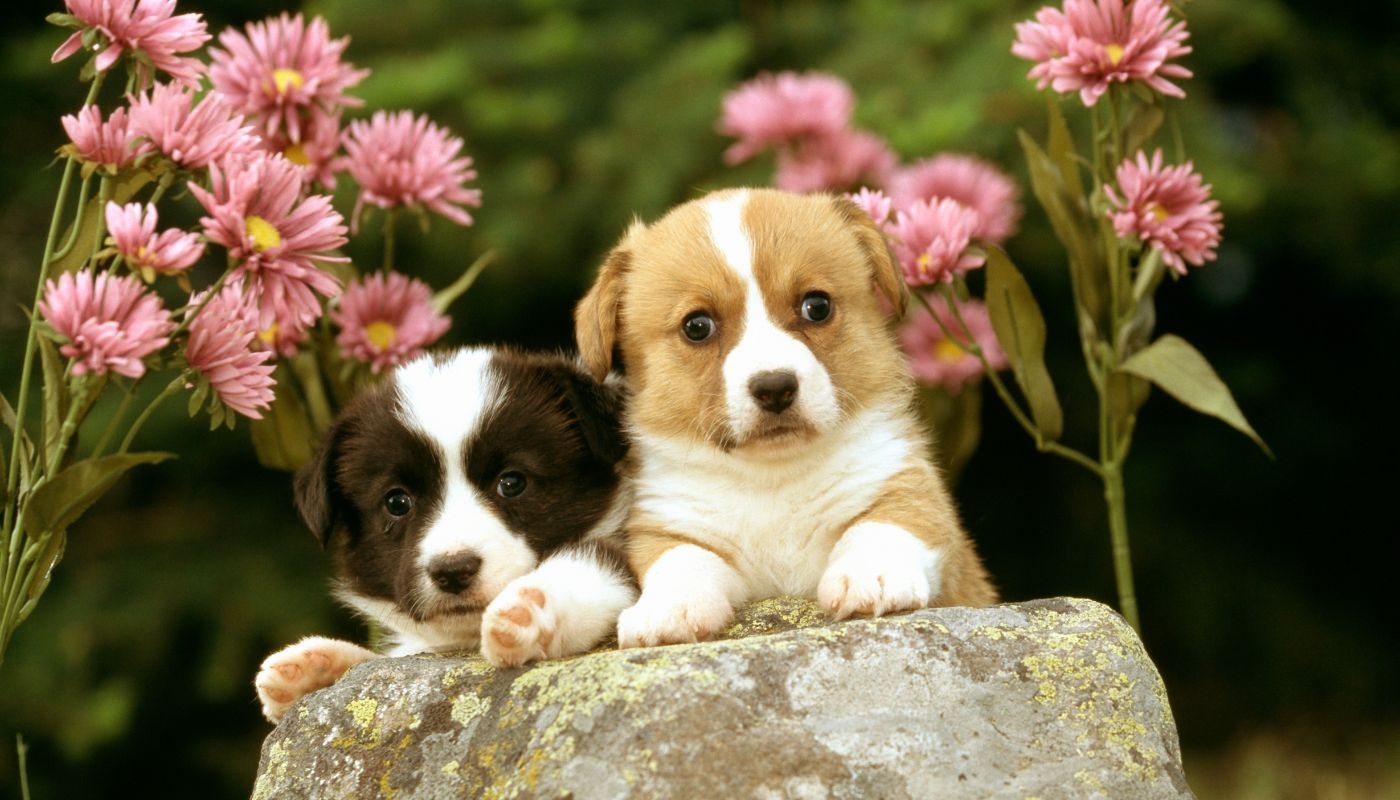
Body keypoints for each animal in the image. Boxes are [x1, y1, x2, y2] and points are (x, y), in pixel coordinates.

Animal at [254, 347, 638, 722]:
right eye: (397, 502)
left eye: (512, 482)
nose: (453, 570)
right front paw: (315, 666)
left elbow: (596, 564)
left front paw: (531, 607)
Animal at [574, 189, 1002, 650]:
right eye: (697, 326)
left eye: (817, 306)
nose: (775, 387)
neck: (773, 477)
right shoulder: (670, 528)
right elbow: (681, 560)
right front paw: (668, 609)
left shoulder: (906, 489)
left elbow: (881, 527)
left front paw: (871, 576)